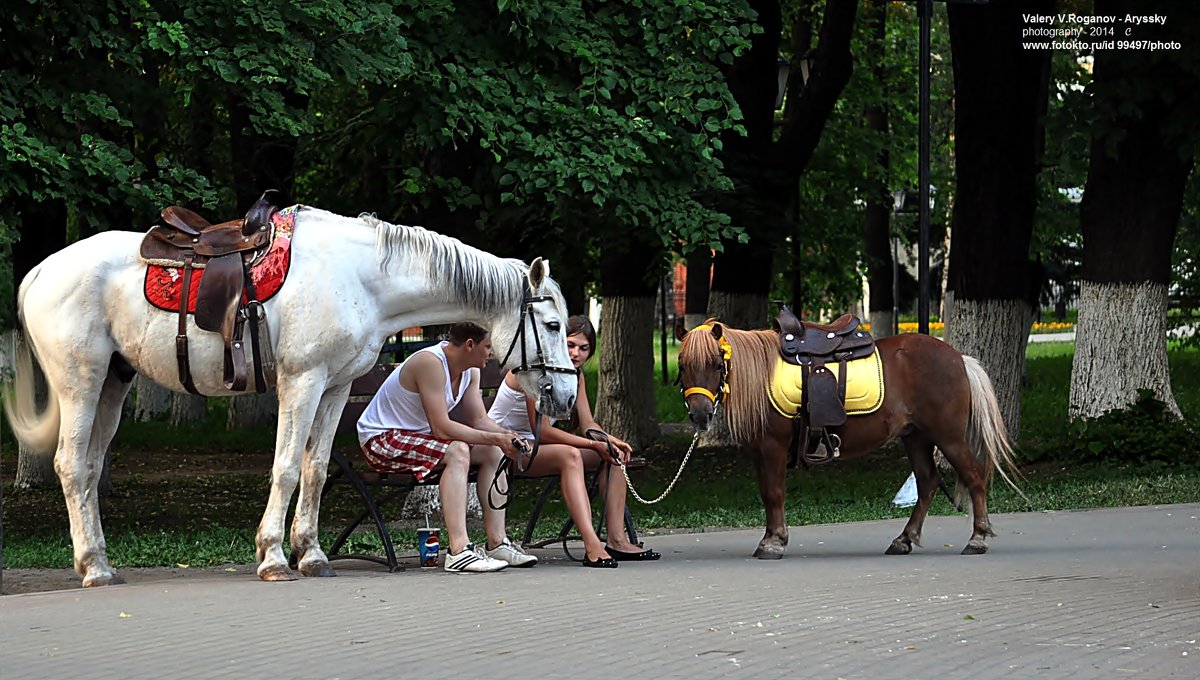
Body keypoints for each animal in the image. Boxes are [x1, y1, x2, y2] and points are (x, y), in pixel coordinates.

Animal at [3, 205, 576, 587]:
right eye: (551, 324)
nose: (567, 395)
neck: (360, 278)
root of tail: (41, 271)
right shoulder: (301, 382)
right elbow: (284, 467)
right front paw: (274, 557)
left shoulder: (335, 387)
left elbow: (315, 468)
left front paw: (312, 553)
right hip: (81, 381)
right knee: (71, 464)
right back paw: (95, 570)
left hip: (113, 384)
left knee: (91, 468)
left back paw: (98, 560)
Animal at [676, 321, 1022, 561]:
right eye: (683, 365)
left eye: (716, 364)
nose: (700, 414)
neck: (760, 377)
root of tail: (958, 358)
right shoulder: (759, 451)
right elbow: (766, 494)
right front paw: (772, 538)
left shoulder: (772, 447)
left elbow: (774, 494)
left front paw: (773, 543)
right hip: (916, 437)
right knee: (927, 482)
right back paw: (904, 540)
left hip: (947, 435)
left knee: (973, 475)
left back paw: (977, 538)